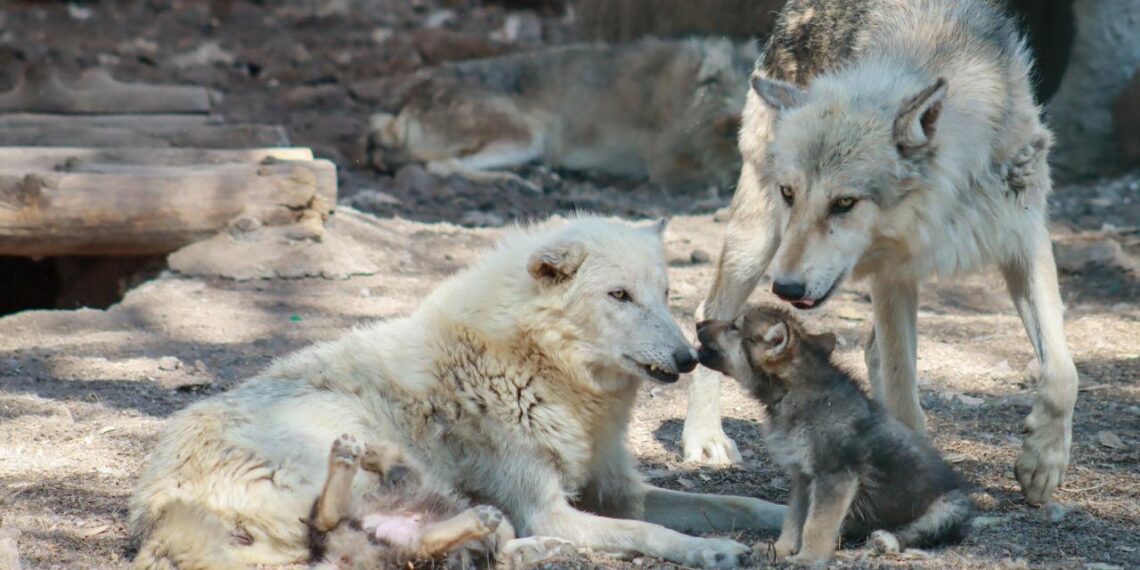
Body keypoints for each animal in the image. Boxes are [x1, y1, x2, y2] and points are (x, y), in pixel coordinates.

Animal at [127, 215, 784, 570]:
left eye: (664, 292)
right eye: (619, 296)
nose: (687, 357)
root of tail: (158, 503)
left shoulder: (618, 490)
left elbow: (735, 501)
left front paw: (785, 518)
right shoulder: (549, 505)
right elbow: (653, 535)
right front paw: (712, 549)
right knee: (349, 526)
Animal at [682, 0, 1079, 507]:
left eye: (844, 202)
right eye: (791, 193)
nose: (785, 288)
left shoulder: (1023, 239)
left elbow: (1062, 371)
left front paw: (1043, 462)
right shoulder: (893, 274)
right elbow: (902, 389)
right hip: (755, 243)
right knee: (708, 311)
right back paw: (703, 438)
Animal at [697, 306, 973, 565]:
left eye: (734, 327)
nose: (698, 323)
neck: (794, 392)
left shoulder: (834, 477)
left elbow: (815, 526)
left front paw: (808, 559)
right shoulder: (803, 477)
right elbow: (794, 521)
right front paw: (781, 550)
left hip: (949, 509)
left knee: (917, 533)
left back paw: (886, 540)